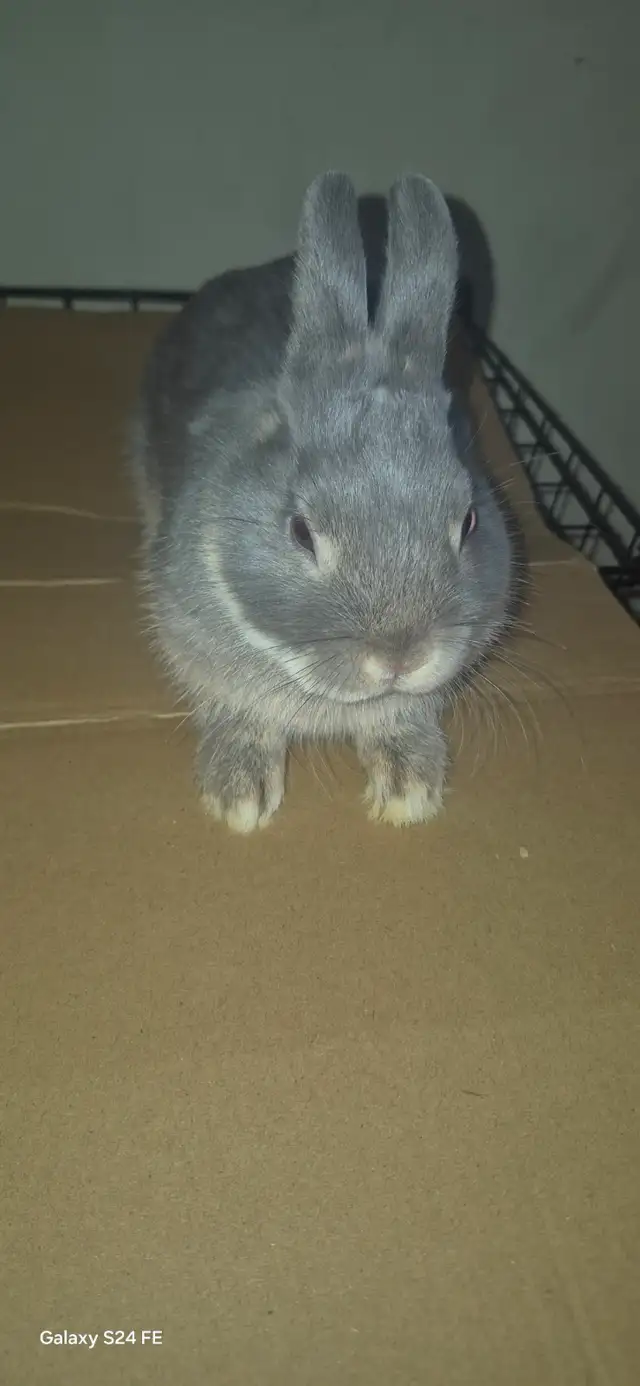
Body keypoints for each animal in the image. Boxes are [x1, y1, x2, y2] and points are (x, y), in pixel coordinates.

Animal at [130, 171, 514, 833]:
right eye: (301, 532)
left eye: (467, 521)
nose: (400, 656)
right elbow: (238, 712)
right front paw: (238, 799)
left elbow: (399, 717)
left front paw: (409, 790)